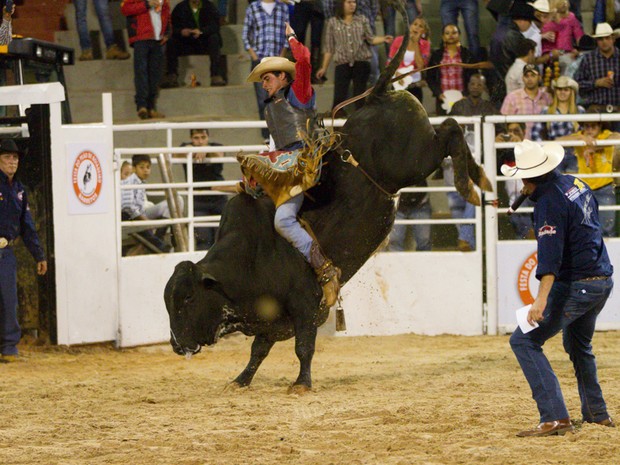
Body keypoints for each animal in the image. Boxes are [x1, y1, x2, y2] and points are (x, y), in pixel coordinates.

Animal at [163, 0, 490, 392]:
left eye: (187, 299)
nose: (176, 344)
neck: (249, 258)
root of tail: (377, 94)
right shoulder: (271, 320)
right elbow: (258, 350)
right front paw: (240, 379)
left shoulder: (305, 304)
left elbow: (303, 346)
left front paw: (301, 383)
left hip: (414, 161)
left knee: (452, 130)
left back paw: (473, 183)